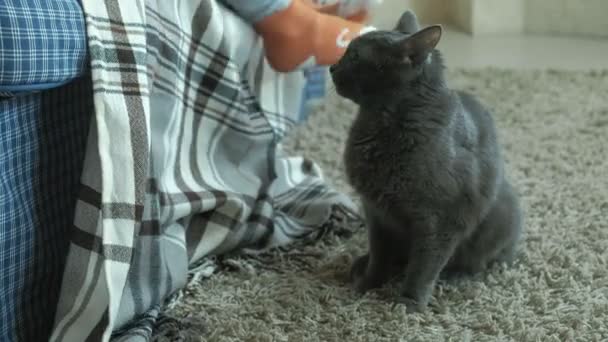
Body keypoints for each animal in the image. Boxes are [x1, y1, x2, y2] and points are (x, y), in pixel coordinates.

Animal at [330, 11, 524, 312]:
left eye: (355, 56)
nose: (332, 67)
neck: (381, 121)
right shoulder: (376, 211)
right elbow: (379, 254)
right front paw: (368, 284)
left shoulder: (439, 220)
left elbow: (424, 265)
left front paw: (408, 303)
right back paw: (361, 265)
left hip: (502, 211)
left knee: (479, 262)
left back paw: (455, 275)